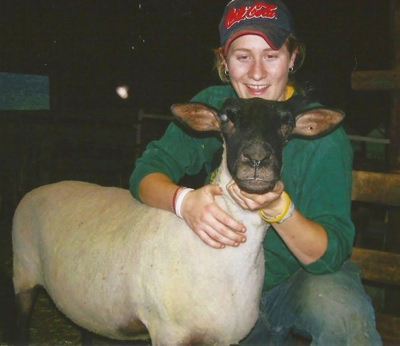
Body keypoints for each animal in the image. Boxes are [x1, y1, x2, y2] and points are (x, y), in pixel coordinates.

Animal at [13, 97, 344, 346]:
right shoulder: (168, 331)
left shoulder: (225, 337)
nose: (257, 159)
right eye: (226, 117)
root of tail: (38, 189)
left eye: (287, 123)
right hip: (23, 274)